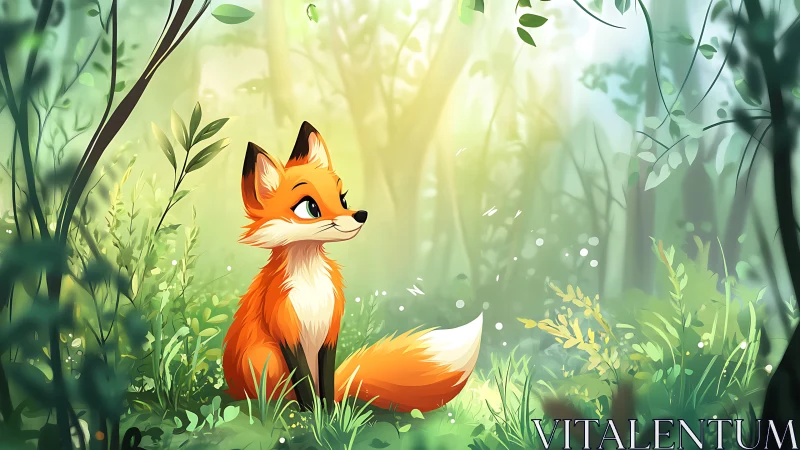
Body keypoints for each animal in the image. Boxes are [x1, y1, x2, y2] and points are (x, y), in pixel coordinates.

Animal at [222, 121, 483, 413]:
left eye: (343, 199)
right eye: (310, 207)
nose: (361, 215)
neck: (311, 284)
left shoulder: (329, 332)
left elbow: (325, 383)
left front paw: (328, 414)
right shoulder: (287, 332)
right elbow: (305, 384)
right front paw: (312, 415)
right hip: (263, 358)